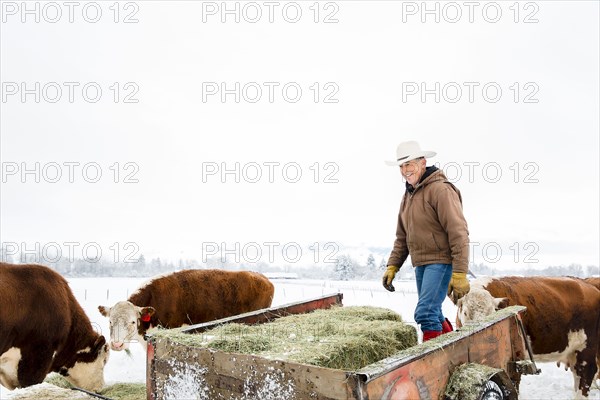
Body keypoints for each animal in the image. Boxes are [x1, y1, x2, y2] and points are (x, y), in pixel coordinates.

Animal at [458, 276, 596, 398]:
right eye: (465, 312)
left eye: (491, 313)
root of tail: (588, 285)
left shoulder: (515, 360)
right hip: (573, 353)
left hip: (586, 349)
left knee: (587, 375)